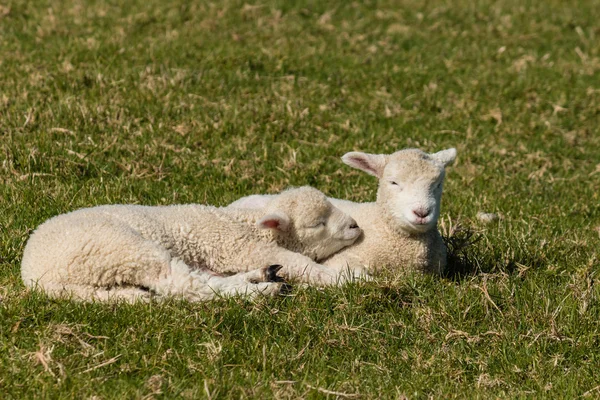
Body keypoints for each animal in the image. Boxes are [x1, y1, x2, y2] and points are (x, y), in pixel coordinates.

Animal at [22, 186, 360, 302]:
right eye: (317, 223)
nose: (356, 226)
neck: (244, 223)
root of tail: (36, 277)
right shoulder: (237, 246)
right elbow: (300, 262)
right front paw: (350, 279)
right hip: (123, 249)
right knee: (184, 285)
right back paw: (262, 289)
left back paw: (260, 277)